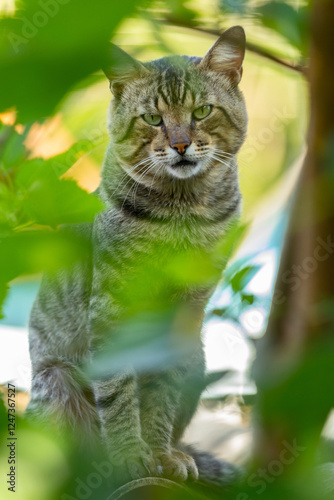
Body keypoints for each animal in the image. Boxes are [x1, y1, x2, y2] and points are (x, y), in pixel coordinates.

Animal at [26, 25, 248, 490]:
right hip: (55, 382)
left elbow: (161, 392)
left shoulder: (185, 313)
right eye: (152, 119)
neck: (182, 213)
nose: (181, 145)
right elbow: (118, 390)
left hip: (198, 356)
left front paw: (161, 454)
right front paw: (129, 455)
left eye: (202, 111)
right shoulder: (112, 305)